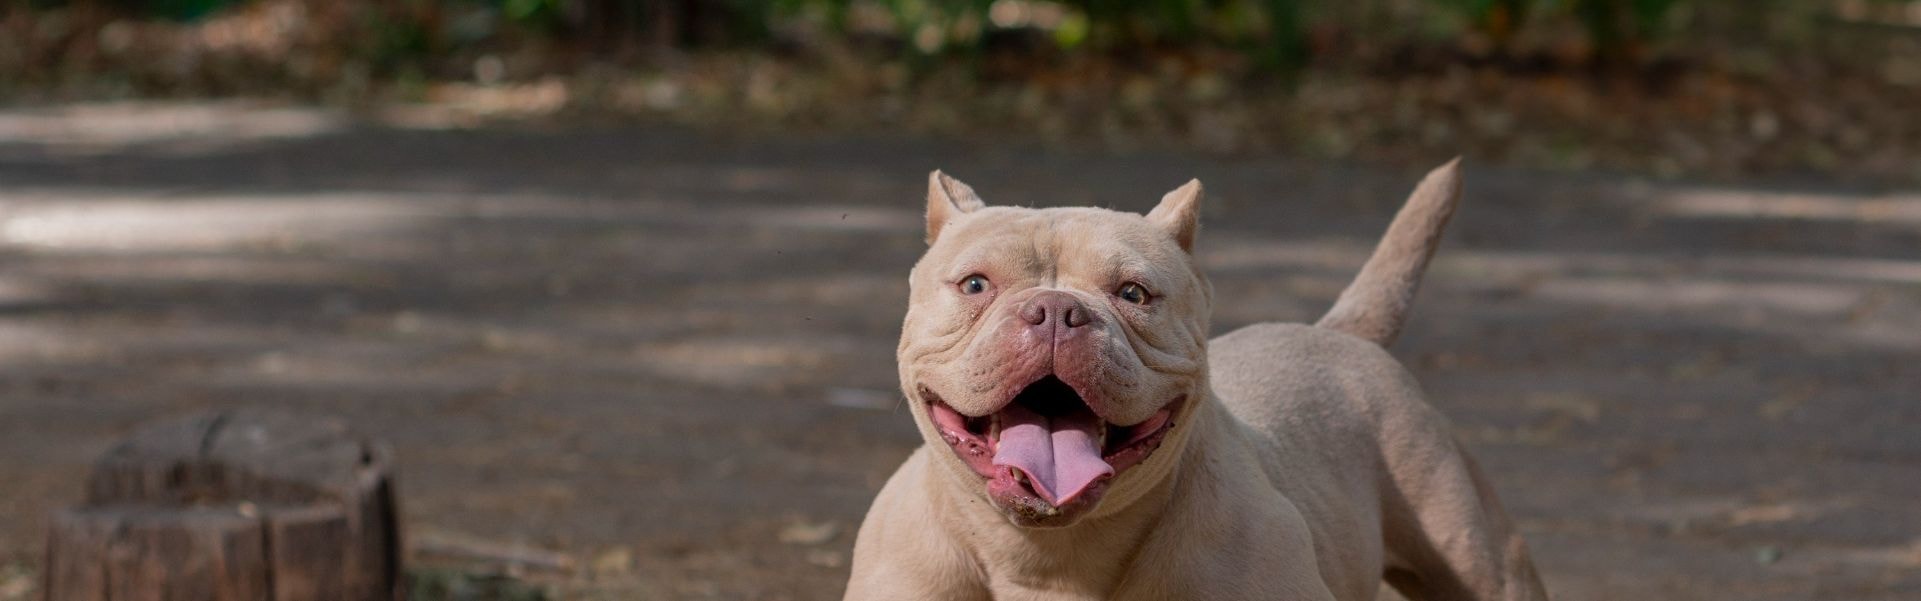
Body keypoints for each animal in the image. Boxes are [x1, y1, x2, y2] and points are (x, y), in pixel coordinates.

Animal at [849, 160, 1552, 599]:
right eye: (974, 285)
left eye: (1134, 293)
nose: (1055, 310)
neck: (1046, 557)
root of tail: (1340, 333)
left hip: (1480, 558)